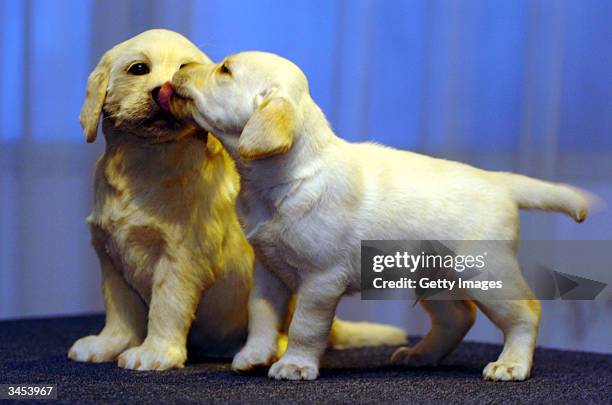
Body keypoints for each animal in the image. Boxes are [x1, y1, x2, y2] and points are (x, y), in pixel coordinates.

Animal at [69, 31, 404, 370]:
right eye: (138, 69)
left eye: (184, 65)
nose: (162, 89)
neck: (147, 163)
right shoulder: (110, 254)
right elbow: (119, 309)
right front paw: (108, 344)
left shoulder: (182, 256)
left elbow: (166, 306)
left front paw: (154, 352)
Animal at [165, 52, 596, 380]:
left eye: (225, 69)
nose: (182, 66)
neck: (286, 178)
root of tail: (499, 181)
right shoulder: (269, 271)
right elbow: (261, 316)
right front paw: (254, 356)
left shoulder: (321, 280)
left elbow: (304, 325)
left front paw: (294, 365)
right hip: (433, 275)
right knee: (458, 316)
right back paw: (420, 355)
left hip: (486, 272)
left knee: (526, 313)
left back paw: (511, 365)